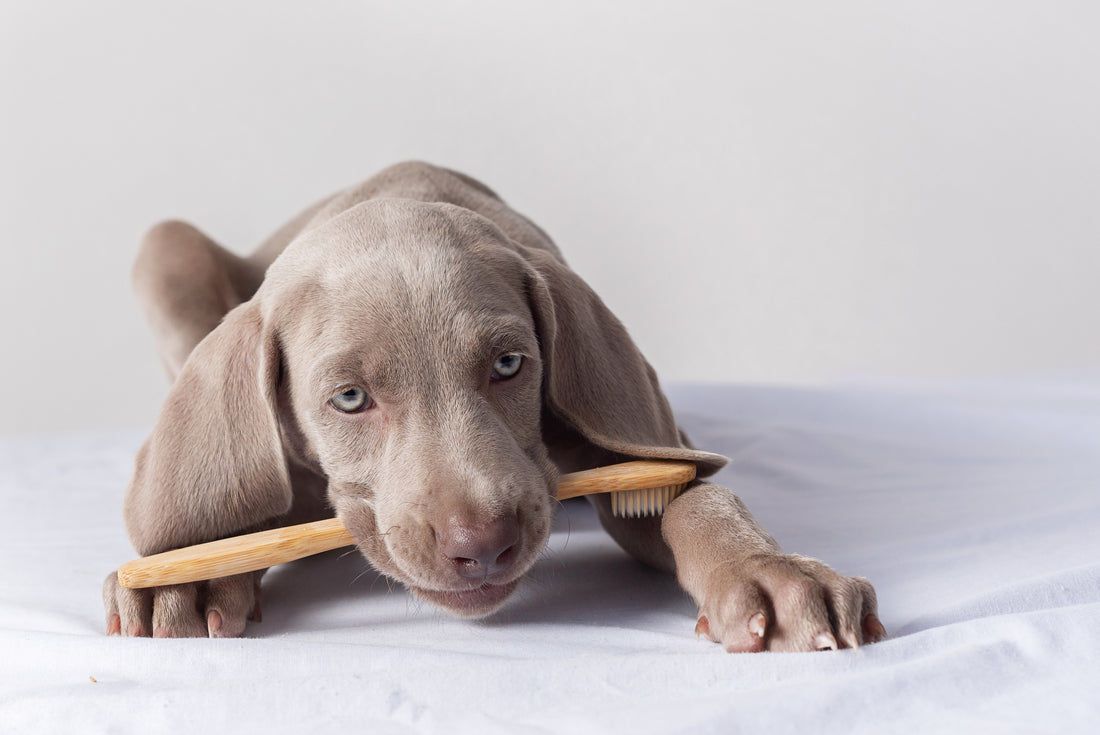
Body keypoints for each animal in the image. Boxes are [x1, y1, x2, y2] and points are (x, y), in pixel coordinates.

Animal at [101, 160, 875, 646]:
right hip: (165, 246)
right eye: (349, 397)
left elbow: (693, 493)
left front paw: (769, 573)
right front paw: (195, 569)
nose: (483, 546)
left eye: (508, 364)